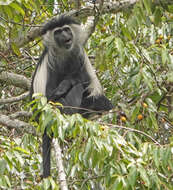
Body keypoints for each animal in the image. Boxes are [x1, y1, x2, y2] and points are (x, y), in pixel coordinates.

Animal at [30, 15, 113, 178]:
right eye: (57, 32)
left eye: (66, 30)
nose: (64, 36)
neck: (64, 52)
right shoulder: (51, 62)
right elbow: (50, 95)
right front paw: (65, 85)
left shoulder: (79, 55)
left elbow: (88, 82)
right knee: (73, 91)